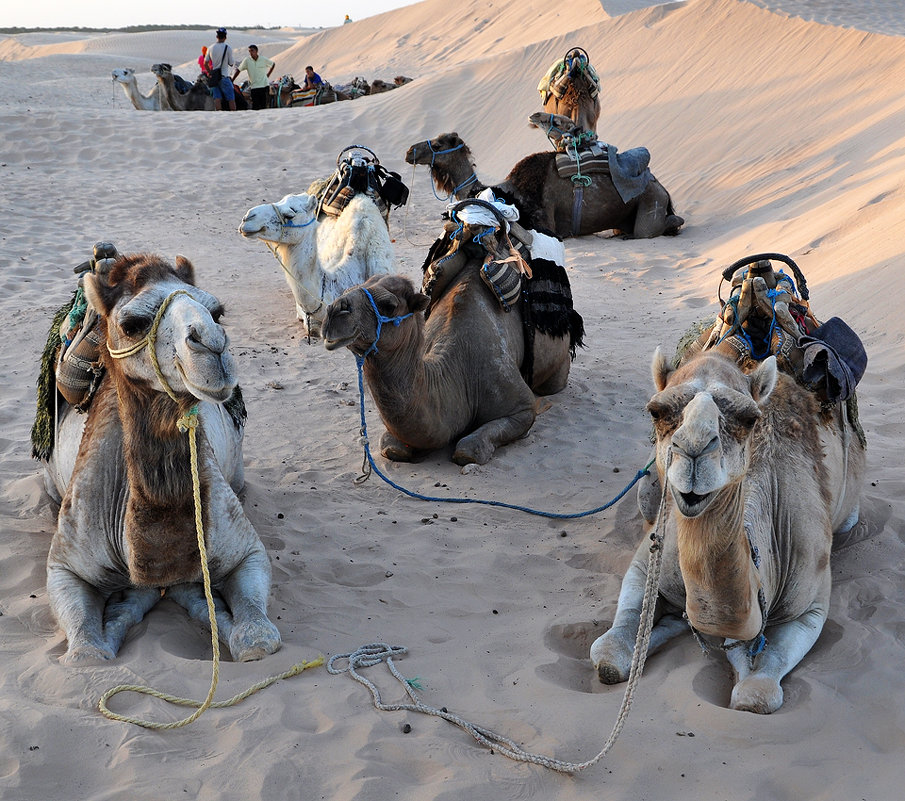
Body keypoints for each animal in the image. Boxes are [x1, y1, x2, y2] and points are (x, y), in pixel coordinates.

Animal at [402, 130, 680, 238]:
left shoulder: (545, 222)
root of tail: (661, 186)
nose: (409, 151)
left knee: (653, 228)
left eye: (438, 144)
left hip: (651, 201)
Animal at [588, 350, 864, 712]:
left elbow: (755, 694)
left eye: (749, 419)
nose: (694, 448)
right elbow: (608, 654)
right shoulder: (645, 563)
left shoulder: (810, 606)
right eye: (656, 411)